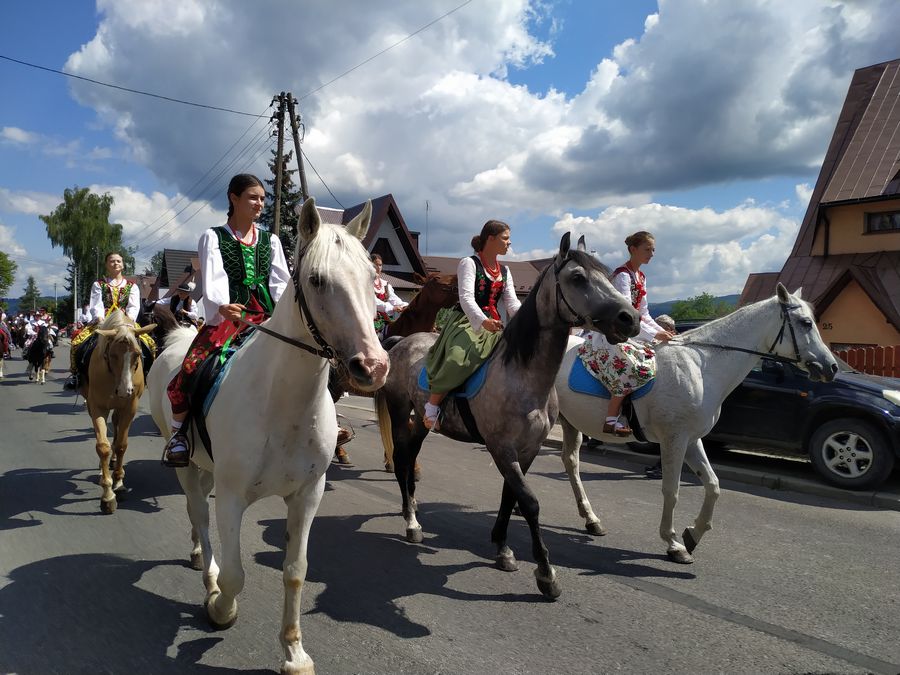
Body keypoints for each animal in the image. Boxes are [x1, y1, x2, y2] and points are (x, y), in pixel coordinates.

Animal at [81, 308, 156, 516]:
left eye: (137, 354)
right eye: (112, 354)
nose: (124, 390)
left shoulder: (130, 407)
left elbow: (121, 444)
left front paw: (119, 483)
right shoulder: (97, 406)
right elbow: (103, 446)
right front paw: (107, 495)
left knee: (115, 425)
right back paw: (103, 467)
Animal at [147, 197, 386, 675]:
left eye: (373, 279)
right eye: (317, 280)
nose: (372, 367)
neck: (283, 405)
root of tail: (178, 337)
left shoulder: (308, 495)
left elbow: (295, 571)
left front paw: (294, 652)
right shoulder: (232, 495)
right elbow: (235, 573)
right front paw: (220, 607)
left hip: (206, 468)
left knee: (197, 514)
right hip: (187, 464)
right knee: (198, 513)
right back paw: (206, 572)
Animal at [372, 234, 640, 604]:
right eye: (577, 278)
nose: (630, 318)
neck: (522, 375)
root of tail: (402, 342)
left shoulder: (527, 450)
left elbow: (510, 496)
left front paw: (502, 548)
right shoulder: (501, 448)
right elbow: (529, 502)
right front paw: (546, 573)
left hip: (423, 423)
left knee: (410, 455)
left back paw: (411, 507)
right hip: (399, 412)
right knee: (400, 458)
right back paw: (411, 523)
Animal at [552, 286, 840, 564]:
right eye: (805, 323)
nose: (832, 367)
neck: (701, 367)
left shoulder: (691, 439)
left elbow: (713, 485)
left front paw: (693, 534)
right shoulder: (674, 439)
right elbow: (672, 490)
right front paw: (673, 543)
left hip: (569, 422)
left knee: (571, 462)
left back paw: (591, 519)